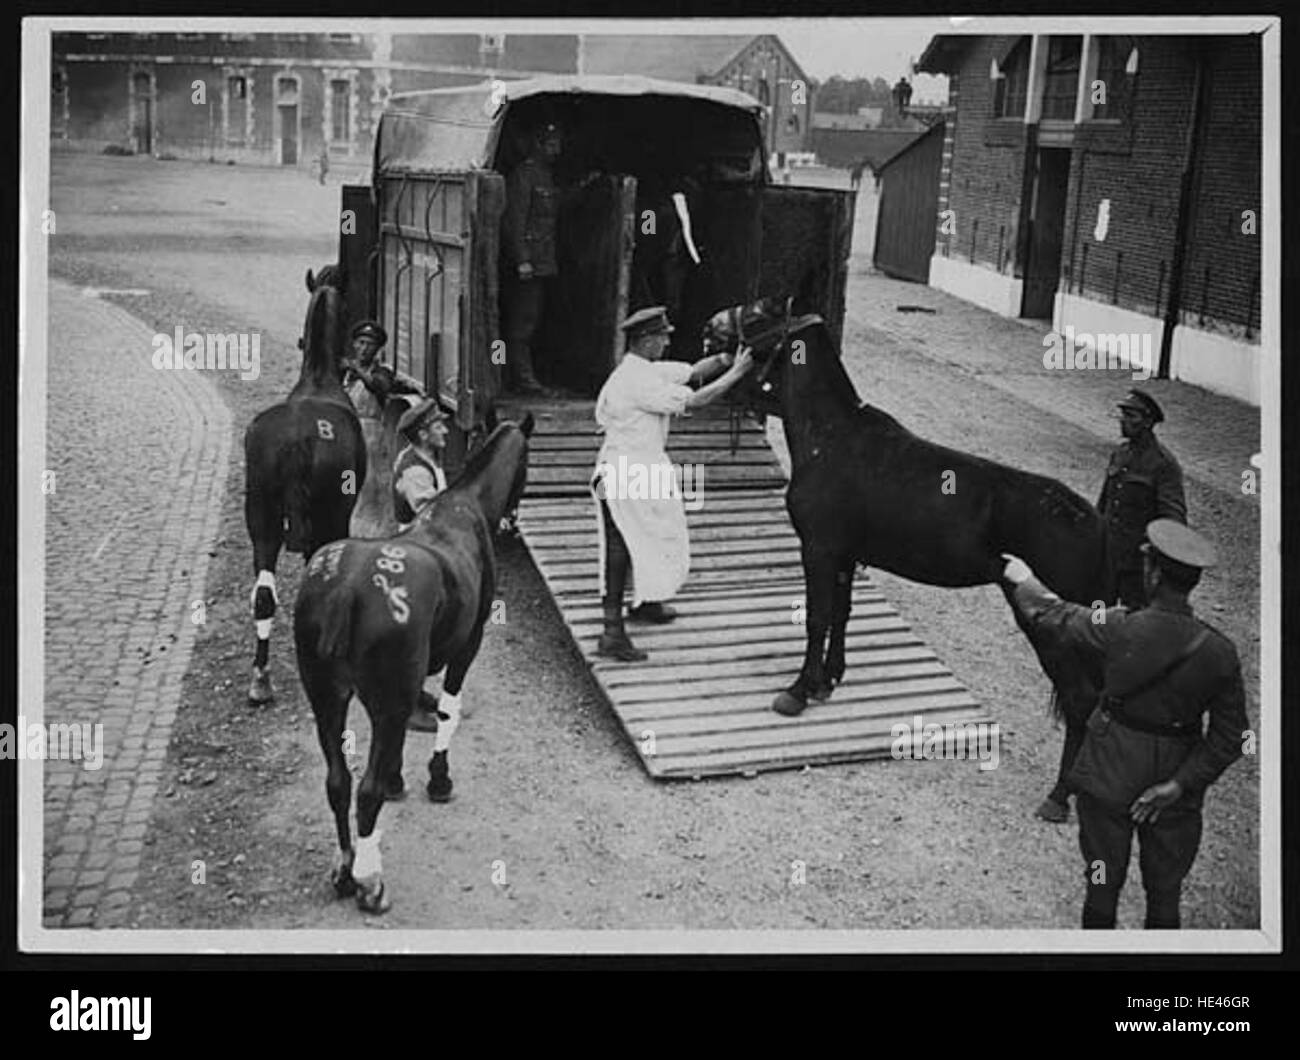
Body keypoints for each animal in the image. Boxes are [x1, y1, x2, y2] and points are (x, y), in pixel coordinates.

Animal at [243, 282, 366, 702]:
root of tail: (298, 439)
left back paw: (261, 679)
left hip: (261, 519)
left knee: (263, 596)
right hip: (330, 520)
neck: (318, 379)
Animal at [293, 410, 533, 915]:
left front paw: (398, 776)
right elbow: (449, 712)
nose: (514, 521)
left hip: (326, 700)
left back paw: (345, 869)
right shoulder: (467, 647)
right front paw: (438, 779)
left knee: (338, 782)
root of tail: (345, 588)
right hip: (380, 699)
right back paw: (370, 882)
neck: (461, 510)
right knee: (364, 793)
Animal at [717, 299, 1112, 811]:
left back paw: (1060, 796)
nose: (713, 323)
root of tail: (1093, 520)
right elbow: (841, 613)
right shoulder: (845, 557)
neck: (832, 437)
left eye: (758, 313)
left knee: (1081, 698)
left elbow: (818, 617)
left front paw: (798, 691)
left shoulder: (819, 550)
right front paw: (828, 680)